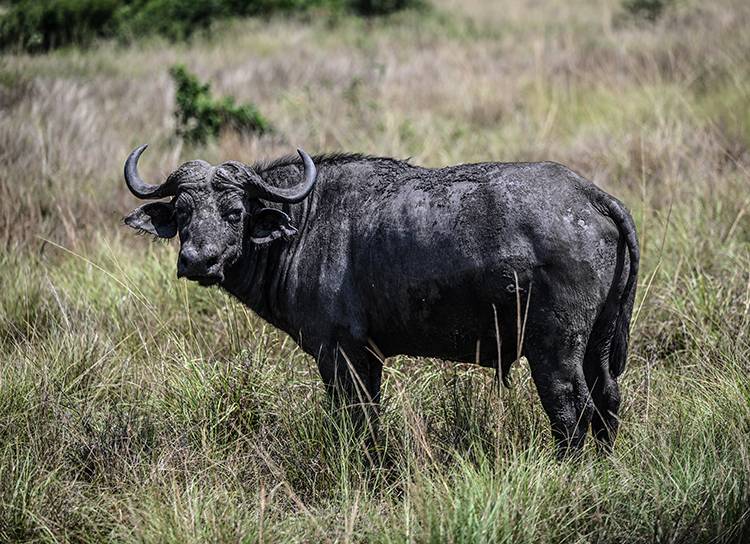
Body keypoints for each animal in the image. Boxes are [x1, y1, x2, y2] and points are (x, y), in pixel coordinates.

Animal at [123, 144, 640, 454]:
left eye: (234, 211)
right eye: (183, 213)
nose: (197, 260)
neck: (305, 222)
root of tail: (591, 196)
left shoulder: (340, 354)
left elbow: (353, 420)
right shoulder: (367, 358)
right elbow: (370, 418)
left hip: (554, 349)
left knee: (571, 409)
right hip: (598, 344)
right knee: (607, 400)